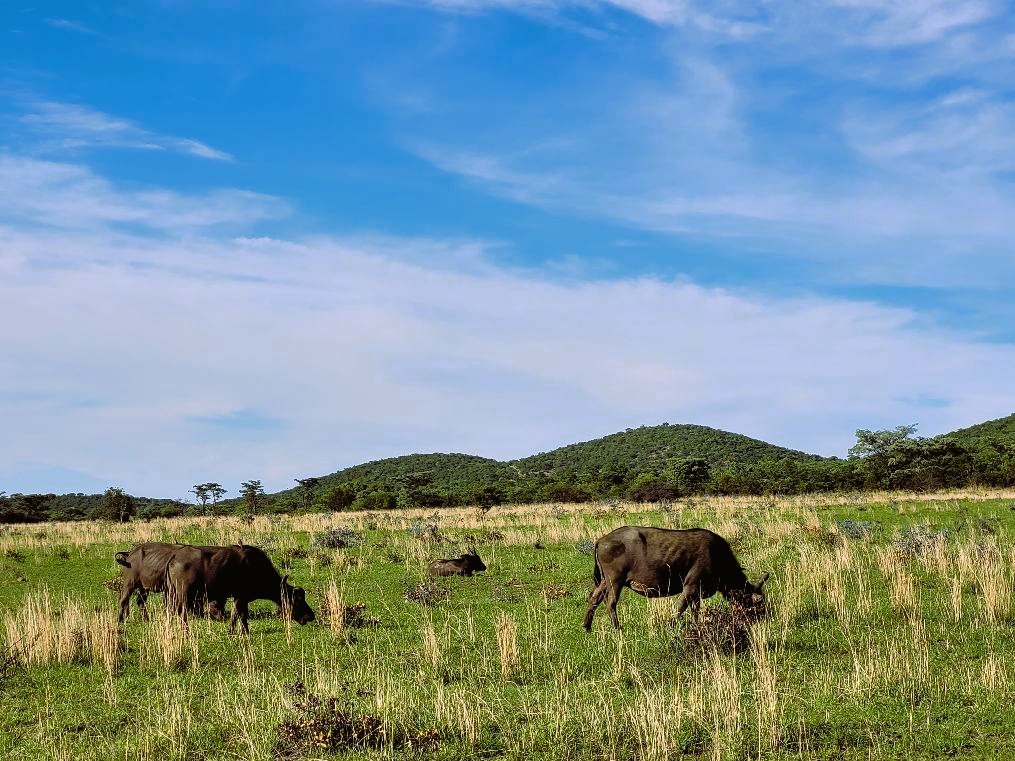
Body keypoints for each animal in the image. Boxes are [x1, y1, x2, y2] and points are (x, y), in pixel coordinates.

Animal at [166, 543, 312, 633]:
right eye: (297, 599)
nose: (311, 616)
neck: (256, 569)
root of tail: (174, 558)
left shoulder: (242, 599)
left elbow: (241, 615)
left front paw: (243, 631)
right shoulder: (241, 597)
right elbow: (237, 614)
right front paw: (234, 631)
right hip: (184, 596)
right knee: (182, 614)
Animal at [580, 527, 767, 633]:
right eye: (757, 606)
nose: (763, 621)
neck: (718, 556)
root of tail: (602, 540)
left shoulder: (697, 592)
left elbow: (695, 611)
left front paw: (697, 627)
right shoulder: (691, 586)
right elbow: (680, 607)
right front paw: (671, 625)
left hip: (604, 581)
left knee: (594, 598)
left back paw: (587, 627)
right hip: (615, 580)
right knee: (611, 602)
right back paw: (617, 628)